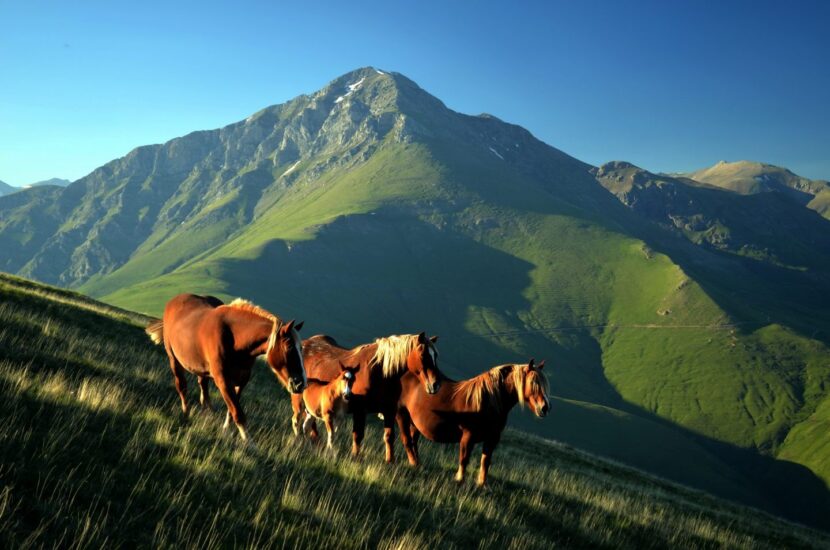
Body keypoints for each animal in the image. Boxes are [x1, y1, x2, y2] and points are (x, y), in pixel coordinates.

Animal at [147, 294, 308, 444]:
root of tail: (174, 301)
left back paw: (207, 413)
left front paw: (226, 430)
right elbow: (237, 412)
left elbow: (232, 409)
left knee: (203, 388)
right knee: (182, 387)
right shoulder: (223, 380)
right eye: (289, 347)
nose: (301, 384)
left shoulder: (242, 380)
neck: (235, 339)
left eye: (301, 348)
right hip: (174, 360)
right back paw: (186, 414)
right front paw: (249, 443)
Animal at [290, 334, 446, 464]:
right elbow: (358, 435)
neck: (380, 373)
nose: (435, 385)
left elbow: (389, 436)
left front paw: (390, 461)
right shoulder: (360, 410)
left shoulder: (389, 411)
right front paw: (355, 456)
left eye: (436, 356)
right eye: (423, 355)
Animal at [398, 362, 552, 488]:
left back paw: (417, 463)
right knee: (407, 440)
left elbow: (485, 462)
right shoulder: (468, 437)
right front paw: (460, 479)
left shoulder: (492, 439)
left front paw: (482, 484)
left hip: (415, 424)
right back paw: (414, 463)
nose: (545, 408)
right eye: (534, 383)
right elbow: (464, 459)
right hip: (401, 415)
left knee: (413, 441)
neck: (489, 401)